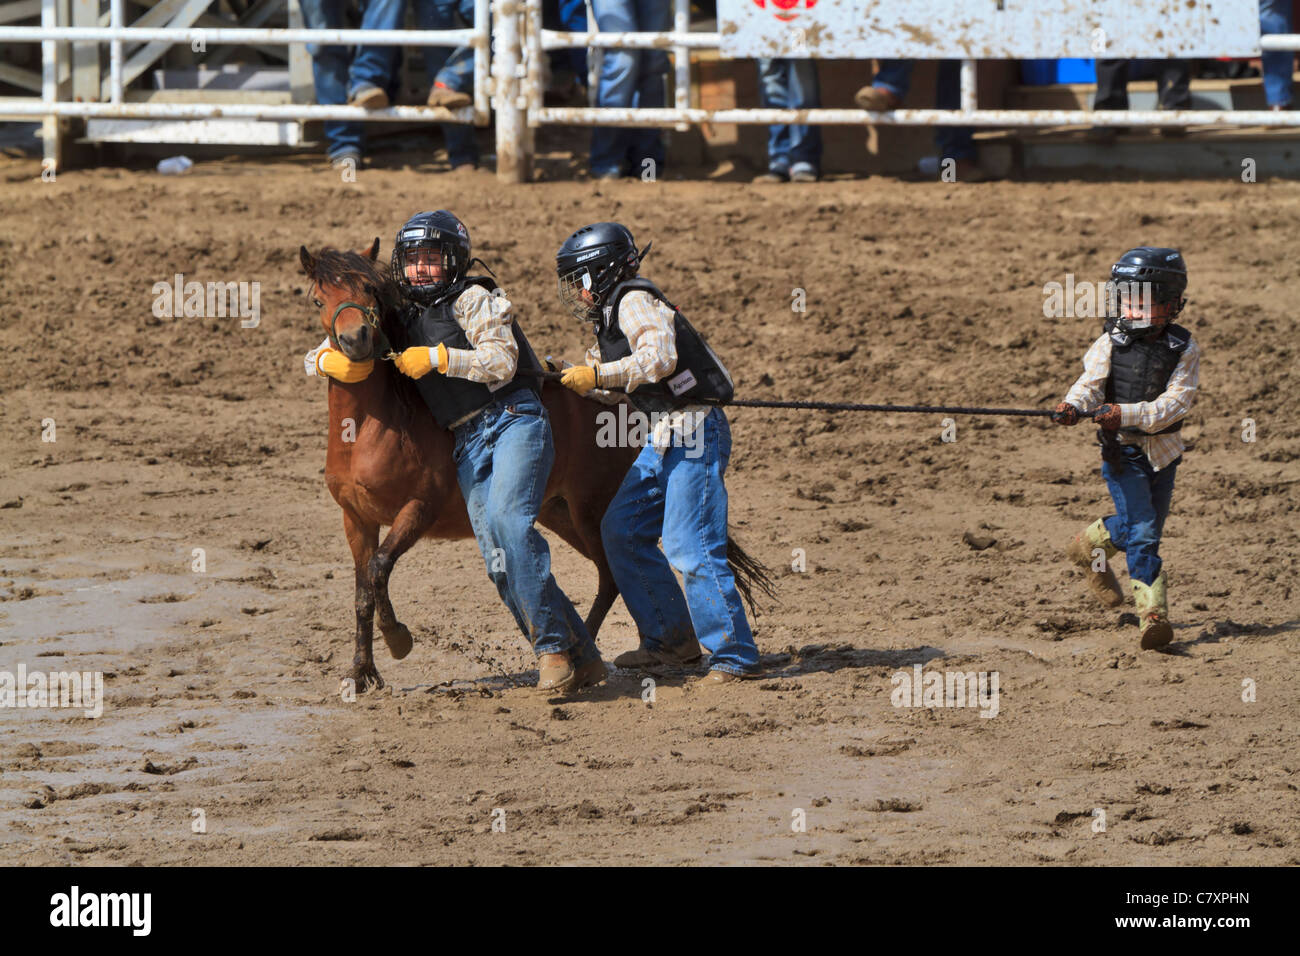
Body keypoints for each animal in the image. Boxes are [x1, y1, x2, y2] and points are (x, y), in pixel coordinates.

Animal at [300, 236, 774, 691]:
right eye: (319, 300)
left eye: (369, 290)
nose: (356, 339)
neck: (368, 428)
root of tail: (625, 409)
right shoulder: (356, 520)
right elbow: (362, 590)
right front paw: (360, 673)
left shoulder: (418, 509)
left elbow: (379, 569)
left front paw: (398, 639)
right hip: (558, 511)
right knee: (609, 570)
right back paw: (591, 657)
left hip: (590, 509)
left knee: (612, 570)